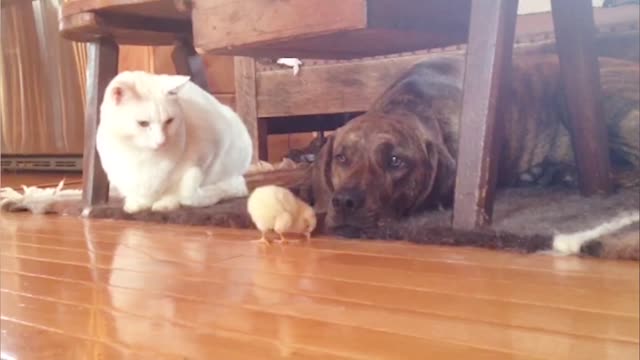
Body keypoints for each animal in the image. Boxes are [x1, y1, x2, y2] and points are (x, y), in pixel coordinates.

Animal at [97, 70, 252, 212]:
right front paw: (137, 203)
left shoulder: (211, 150)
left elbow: (182, 192)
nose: (161, 141)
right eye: (143, 124)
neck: (141, 156)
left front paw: (167, 203)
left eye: (169, 121)